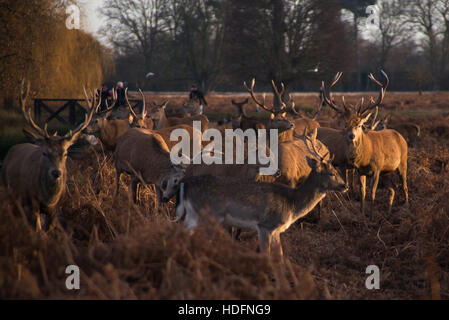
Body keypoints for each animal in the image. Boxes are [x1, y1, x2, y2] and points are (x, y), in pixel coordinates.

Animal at [172, 130, 346, 258]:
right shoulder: (265, 225)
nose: (345, 185)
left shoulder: (276, 231)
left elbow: (280, 256)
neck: (291, 202)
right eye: (331, 173)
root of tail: (184, 184)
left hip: (194, 214)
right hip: (209, 214)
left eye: (336, 170)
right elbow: (265, 254)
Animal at [320, 70, 408, 220]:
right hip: (387, 172)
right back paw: (389, 212)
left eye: (359, 124)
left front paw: (371, 217)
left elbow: (372, 193)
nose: (351, 136)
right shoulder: (360, 171)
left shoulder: (377, 168)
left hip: (402, 162)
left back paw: (407, 208)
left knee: (404, 186)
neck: (366, 157)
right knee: (393, 189)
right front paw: (361, 215)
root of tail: (401, 136)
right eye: (345, 124)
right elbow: (362, 193)